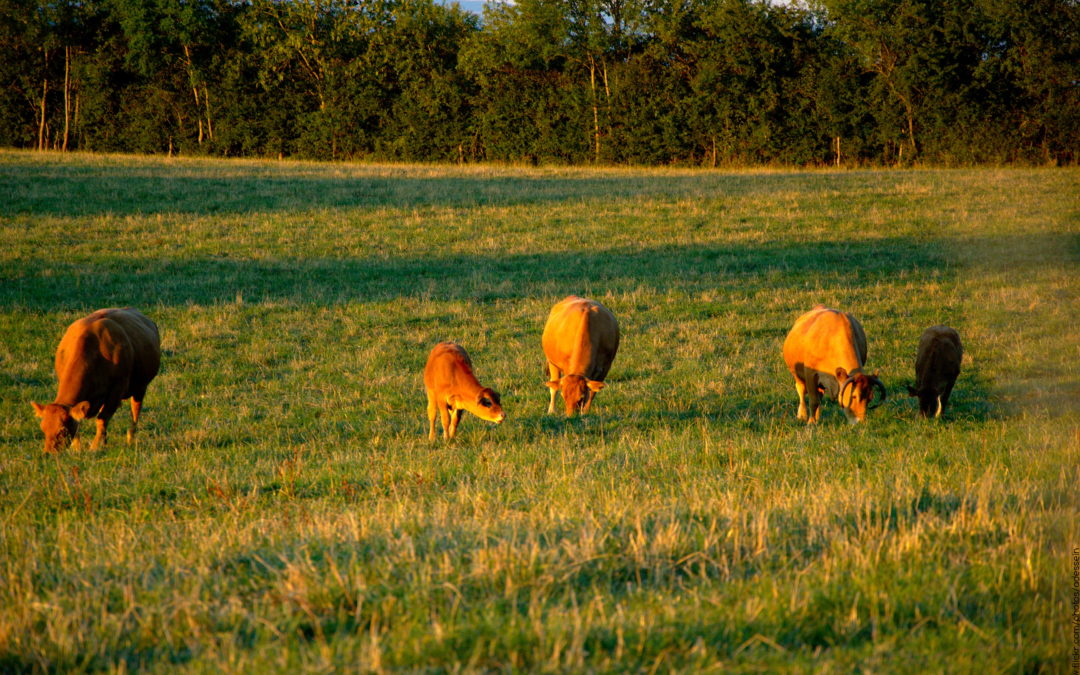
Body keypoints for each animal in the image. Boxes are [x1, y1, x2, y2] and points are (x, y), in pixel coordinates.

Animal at [31, 308, 159, 453]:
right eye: (43, 428)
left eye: (62, 431)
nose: (48, 453)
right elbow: (79, 423)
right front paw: (77, 448)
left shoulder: (116, 391)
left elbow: (102, 418)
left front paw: (95, 446)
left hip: (140, 387)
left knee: (135, 412)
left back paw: (130, 440)